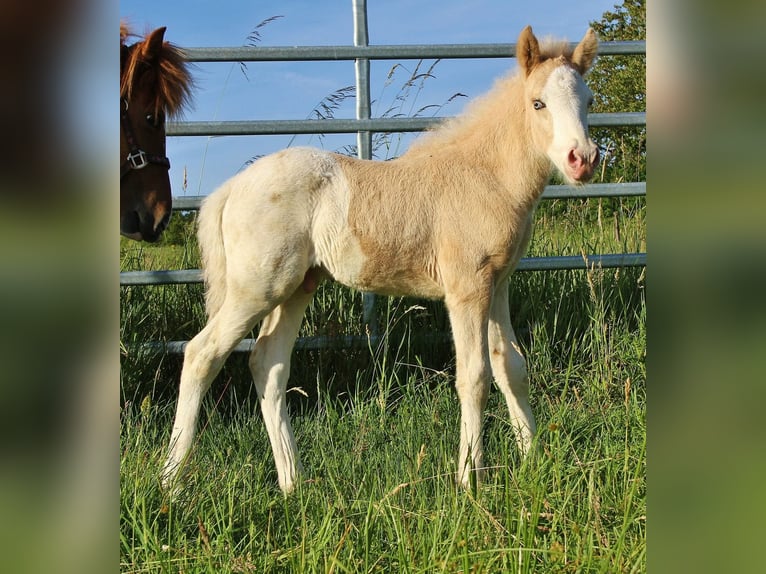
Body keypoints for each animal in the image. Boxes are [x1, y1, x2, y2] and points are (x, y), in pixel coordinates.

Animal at [162, 26, 600, 494]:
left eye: (589, 100)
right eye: (538, 103)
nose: (582, 159)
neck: (485, 177)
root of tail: (230, 188)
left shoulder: (497, 284)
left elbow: (511, 367)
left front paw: (534, 459)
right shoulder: (467, 288)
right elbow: (475, 377)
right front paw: (469, 481)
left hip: (297, 287)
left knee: (268, 364)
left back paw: (294, 482)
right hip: (256, 288)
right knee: (202, 354)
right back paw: (170, 481)